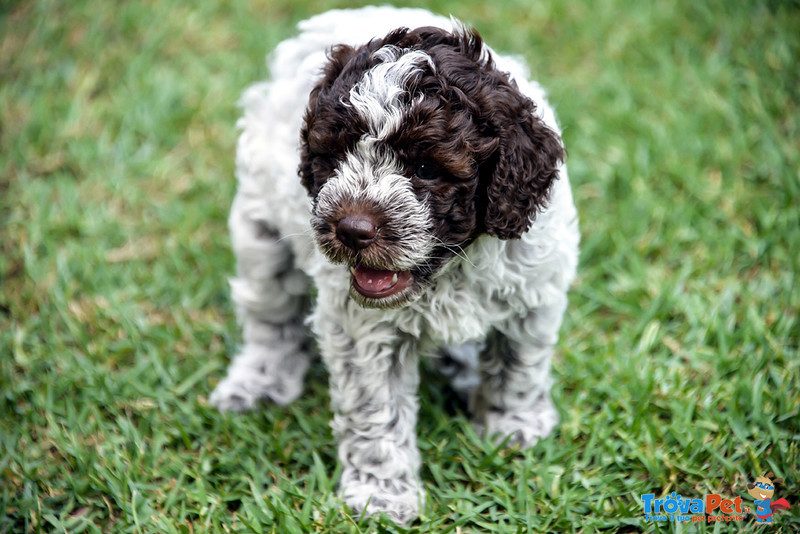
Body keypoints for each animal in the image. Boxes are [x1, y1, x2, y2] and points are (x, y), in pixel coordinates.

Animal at [209, 6, 580, 528]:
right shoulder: (363, 330)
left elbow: (519, 365)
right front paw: (381, 495)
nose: (352, 230)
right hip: (261, 229)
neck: (448, 268)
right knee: (270, 317)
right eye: (336, 156)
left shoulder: (535, 289)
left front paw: (514, 427)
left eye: (425, 168)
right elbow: (376, 409)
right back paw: (257, 380)